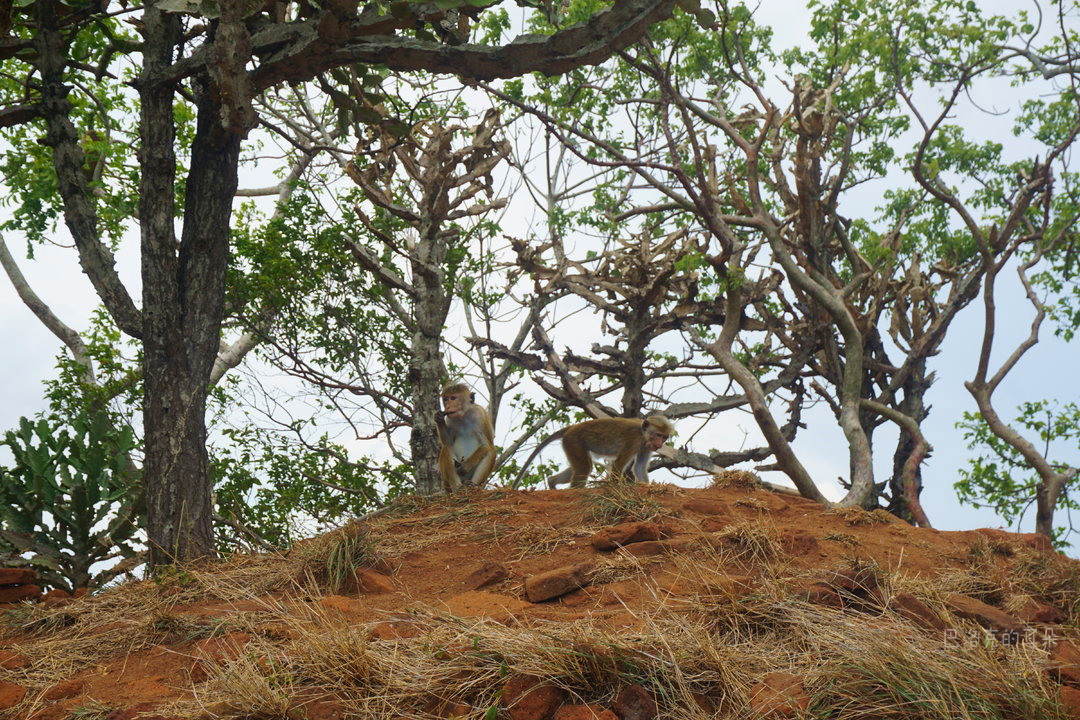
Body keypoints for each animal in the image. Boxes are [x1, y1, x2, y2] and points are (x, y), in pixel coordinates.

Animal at [514, 416, 673, 490]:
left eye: (664, 437)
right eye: (658, 435)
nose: (660, 444)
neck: (643, 434)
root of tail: (571, 428)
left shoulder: (646, 447)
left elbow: (639, 468)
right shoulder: (633, 441)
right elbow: (618, 465)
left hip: (571, 444)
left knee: (580, 467)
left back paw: (552, 482)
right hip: (573, 441)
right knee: (584, 469)